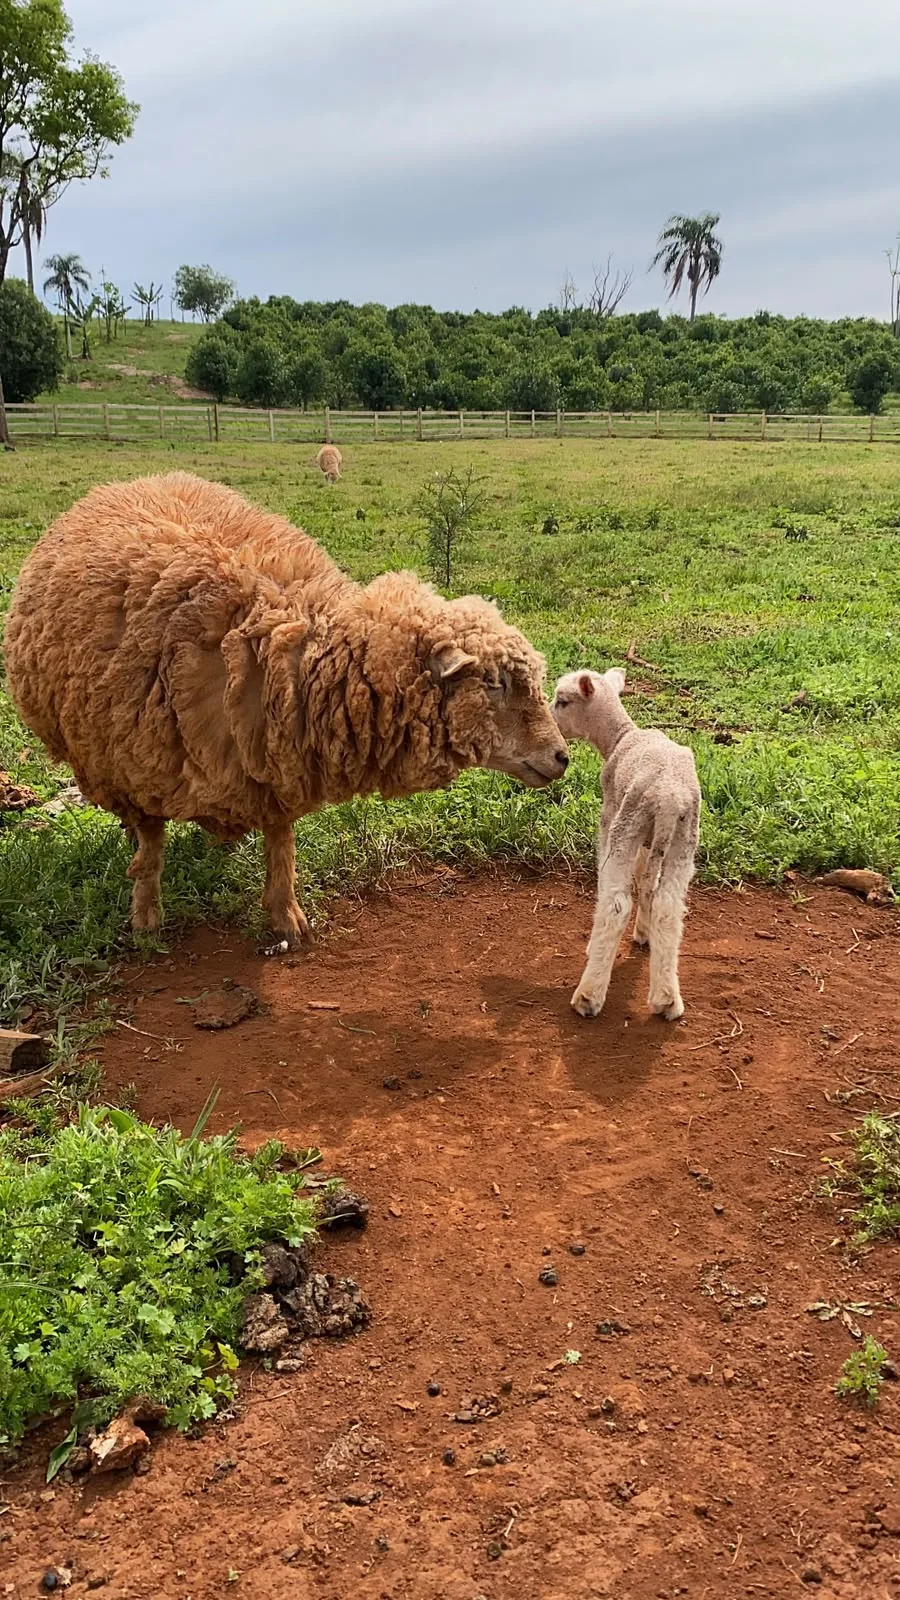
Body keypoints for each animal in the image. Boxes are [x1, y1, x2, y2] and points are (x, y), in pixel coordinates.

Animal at [4, 472, 569, 946]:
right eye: (493, 683)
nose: (562, 756)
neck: (294, 650)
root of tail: (128, 480)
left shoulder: (274, 759)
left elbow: (281, 843)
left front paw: (286, 916)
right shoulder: (137, 764)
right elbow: (151, 844)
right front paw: (146, 918)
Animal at [552, 668, 700, 1021]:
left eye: (562, 701)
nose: (549, 719)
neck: (618, 737)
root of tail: (668, 798)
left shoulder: (610, 815)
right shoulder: (648, 841)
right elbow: (645, 878)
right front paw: (644, 933)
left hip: (629, 819)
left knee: (617, 904)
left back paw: (589, 995)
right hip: (683, 837)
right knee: (668, 905)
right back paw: (666, 999)